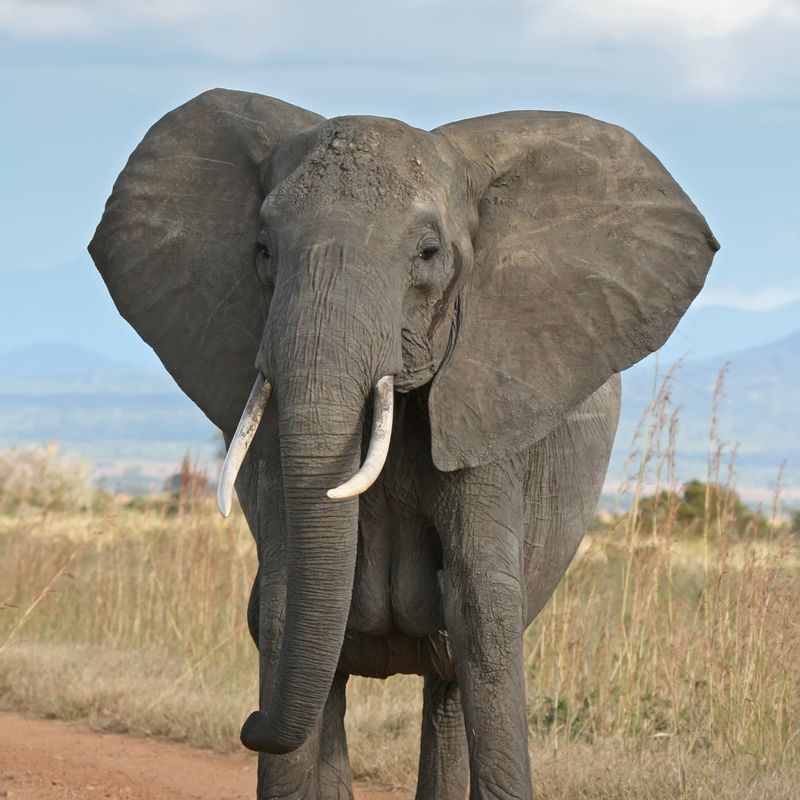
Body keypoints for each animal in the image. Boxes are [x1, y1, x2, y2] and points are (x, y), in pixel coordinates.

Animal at [89, 89, 720, 800]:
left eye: (428, 253)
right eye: (262, 249)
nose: (248, 723)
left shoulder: (490, 405)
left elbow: (483, 610)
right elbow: (281, 601)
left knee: (446, 679)